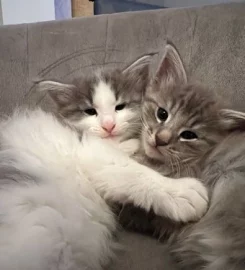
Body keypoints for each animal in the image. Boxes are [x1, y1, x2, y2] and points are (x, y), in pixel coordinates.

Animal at [0, 53, 208, 268]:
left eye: (120, 107)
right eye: (90, 111)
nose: (109, 125)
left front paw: (135, 144)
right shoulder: (87, 150)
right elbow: (130, 171)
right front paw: (181, 192)